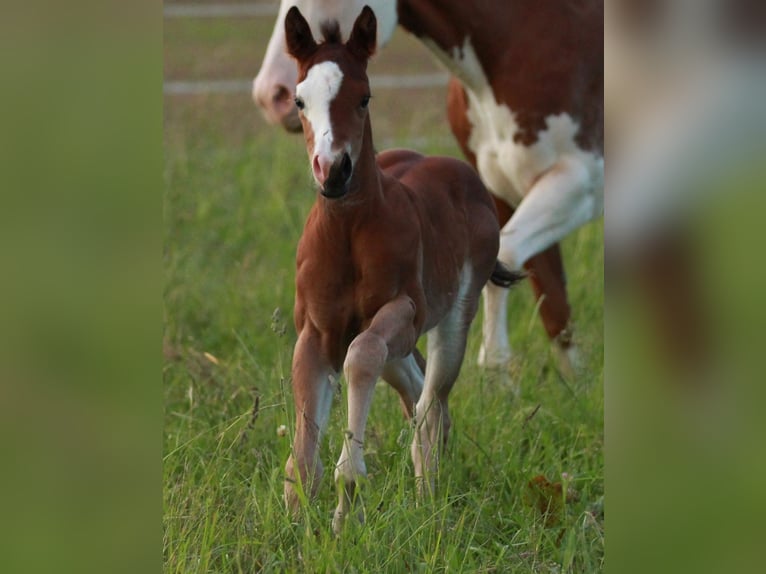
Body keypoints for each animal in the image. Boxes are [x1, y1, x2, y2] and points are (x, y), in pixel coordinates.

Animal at [258, 0, 608, 376]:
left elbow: (509, 254)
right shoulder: (502, 191)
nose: (272, 95)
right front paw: (574, 381)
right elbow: (555, 306)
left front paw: (496, 369)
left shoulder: (580, 184)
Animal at [284, 5, 524, 536]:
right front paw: (299, 526)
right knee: (418, 398)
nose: (333, 171)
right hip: (398, 346)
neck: (348, 233)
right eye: (299, 100)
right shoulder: (316, 331)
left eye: (364, 97)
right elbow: (302, 456)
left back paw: (427, 499)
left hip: (453, 319)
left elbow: (362, 358)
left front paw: (347, 500)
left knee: (430, 404)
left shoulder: (405, 311)